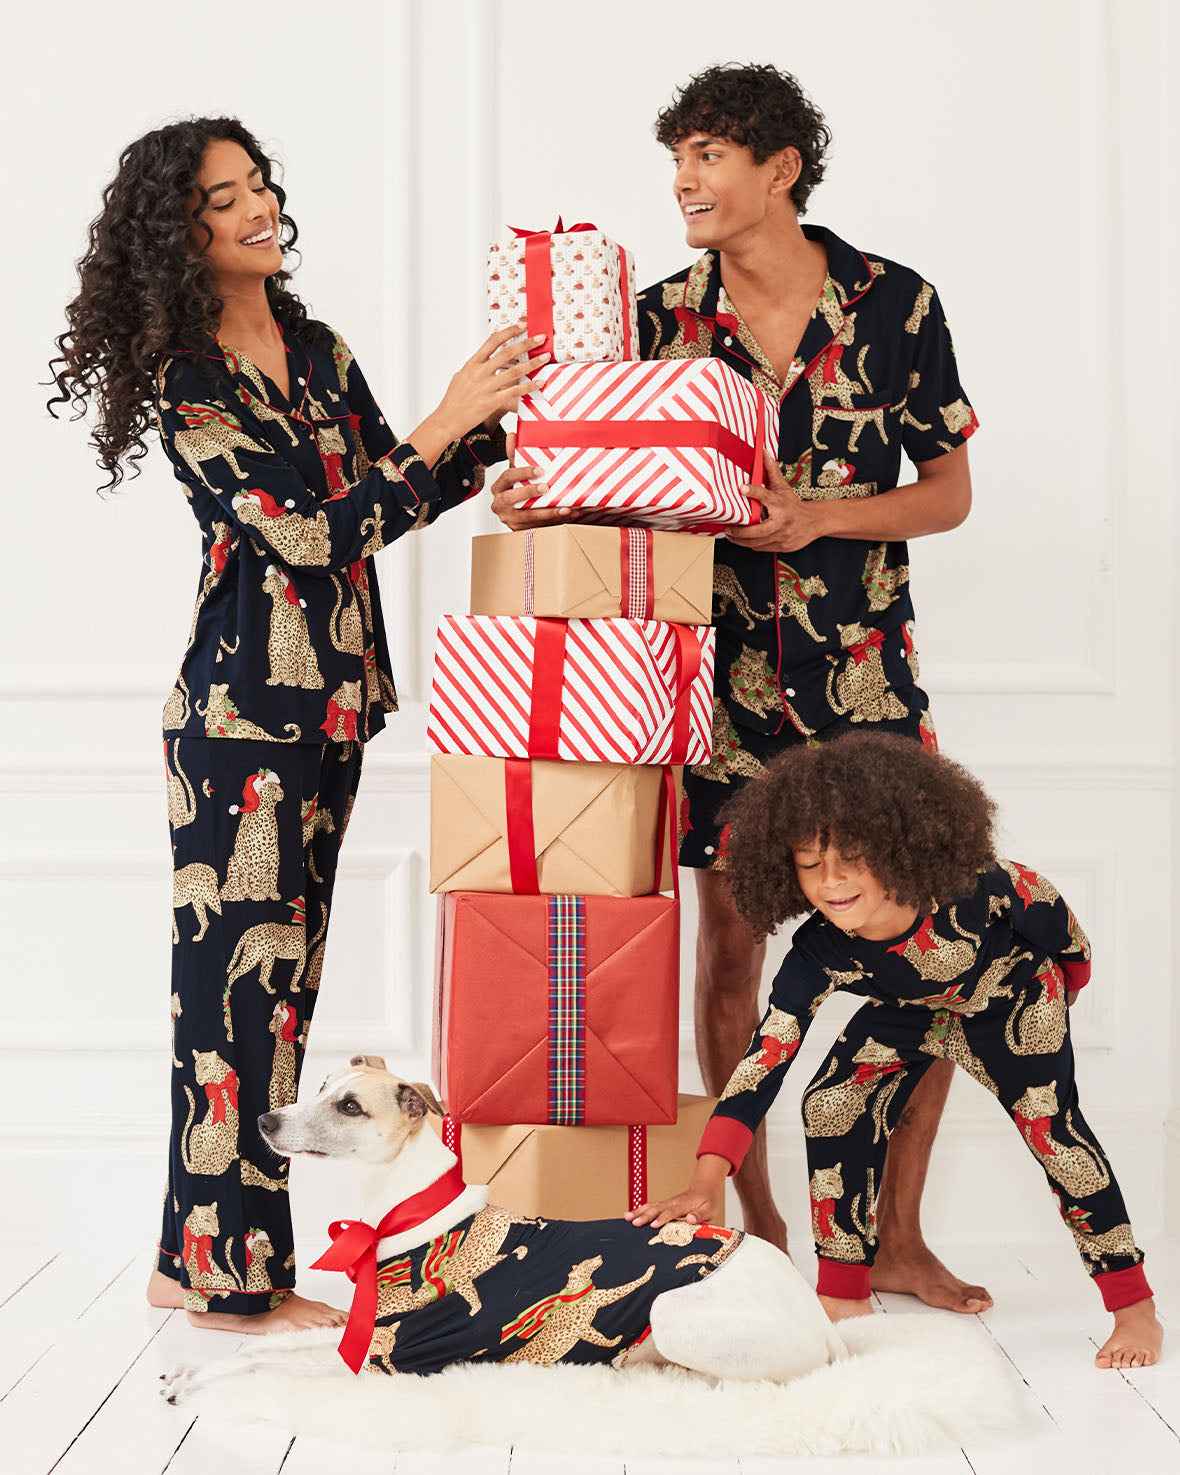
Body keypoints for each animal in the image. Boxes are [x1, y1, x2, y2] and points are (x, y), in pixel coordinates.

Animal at [162, 1056, 844, 1401]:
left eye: (349, 1106)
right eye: (323, 1085)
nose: (264, 1120)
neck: (410, 1215)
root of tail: (820, 1320)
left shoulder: (386, 1363)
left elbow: (264, 1372)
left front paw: (198, 1382)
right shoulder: (362, 1339)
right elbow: (272, 1347)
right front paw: (189, 1370)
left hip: (674, 1314)